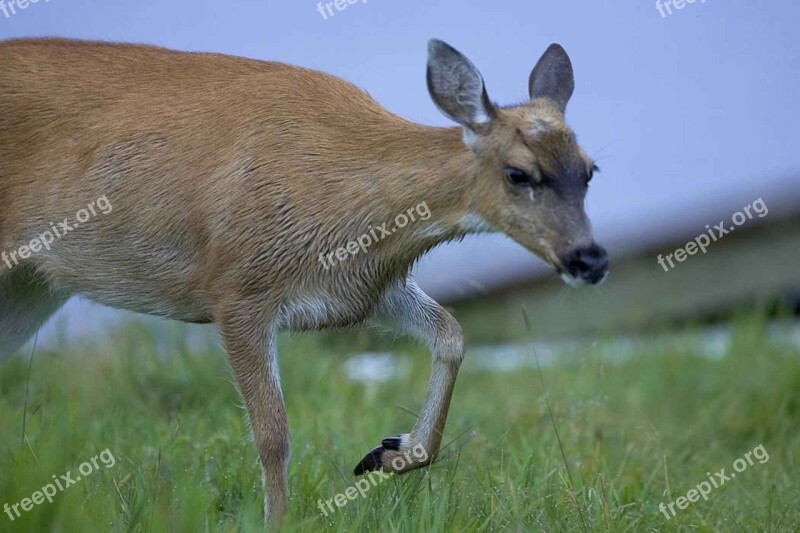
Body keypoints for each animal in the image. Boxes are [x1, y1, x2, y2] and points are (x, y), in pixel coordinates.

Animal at [0, 37, 608, 520]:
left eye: (590, 170)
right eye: (518, 174)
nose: (591, 259)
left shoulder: (364, 289)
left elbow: (453, 334)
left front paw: (390, 453)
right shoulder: (237, 286)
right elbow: (274, 434)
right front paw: (279, 519)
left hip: (31, 286)